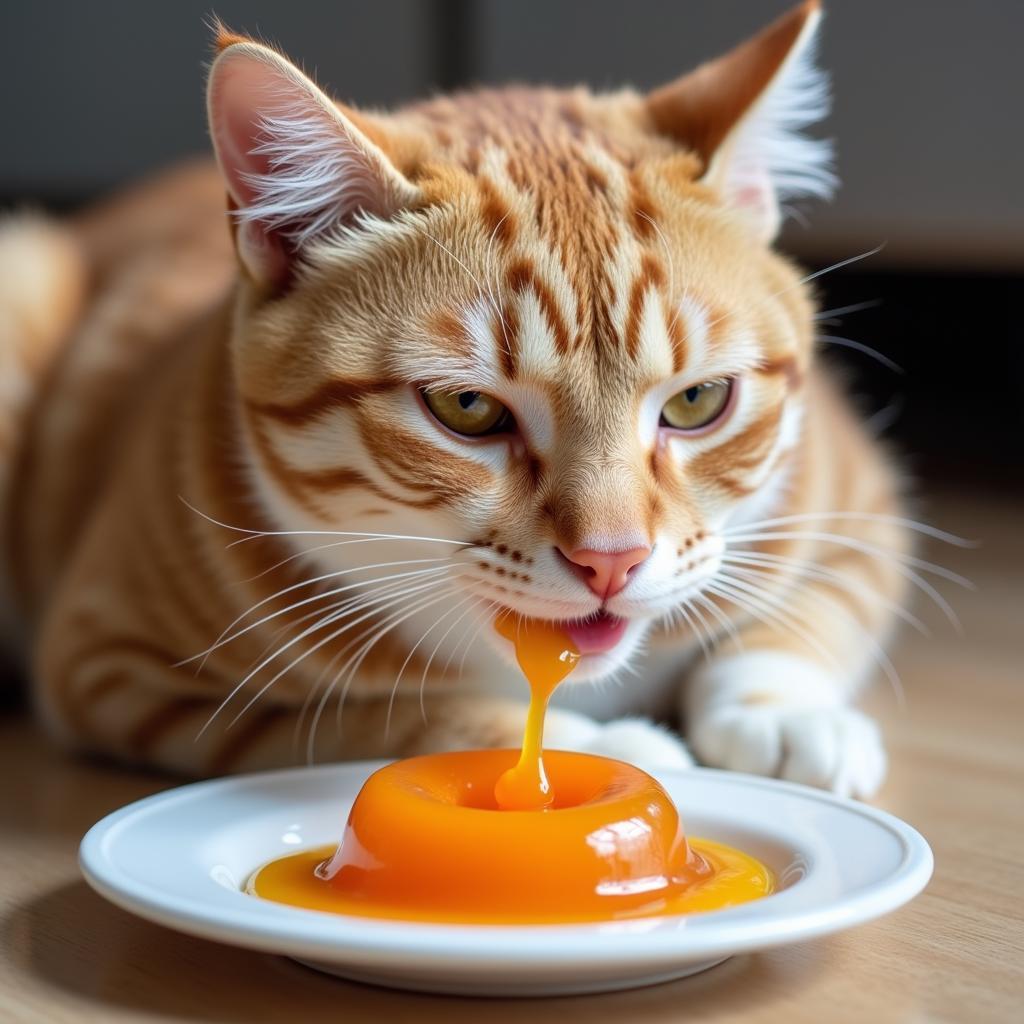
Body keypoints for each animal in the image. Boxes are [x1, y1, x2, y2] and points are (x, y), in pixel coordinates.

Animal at [0, 0, 913, 794]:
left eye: (698, 402)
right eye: (467, 411)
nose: (612, 561)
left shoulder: (859, 507)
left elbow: (807, 614)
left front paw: (784, 712)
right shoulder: (119, 669)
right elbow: (398, 715)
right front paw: (599, 748)